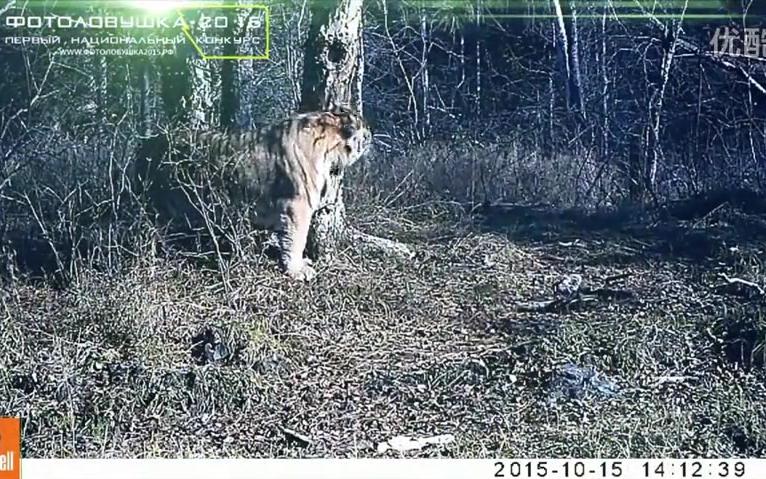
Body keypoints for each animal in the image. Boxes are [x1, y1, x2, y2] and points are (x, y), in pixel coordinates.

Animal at [135, 103, 376, 280]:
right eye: (365, 127)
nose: (372, 133)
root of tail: (147, 144)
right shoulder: (297, 206)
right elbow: (297, 239)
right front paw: (297, 270)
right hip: (159, 205)